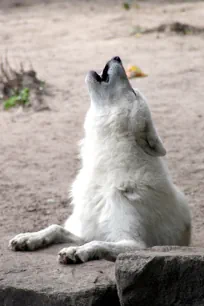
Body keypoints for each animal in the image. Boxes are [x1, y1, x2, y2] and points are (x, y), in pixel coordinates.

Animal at [9, 56, 191, 262]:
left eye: (133, 92)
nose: (117, 57)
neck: (105, 170)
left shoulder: (135, 244)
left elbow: (97, 243)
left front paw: (75, 251)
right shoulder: (85, 231)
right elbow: (55, 227)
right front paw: (29, 238)